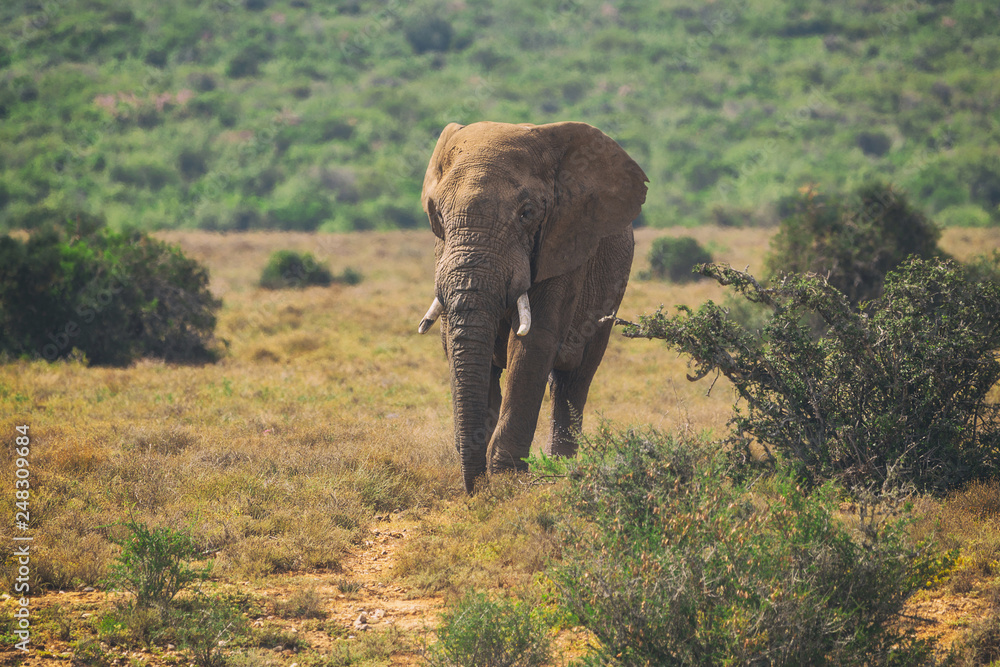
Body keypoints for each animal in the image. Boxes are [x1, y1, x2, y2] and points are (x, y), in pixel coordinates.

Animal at [416, 121, 648, 493]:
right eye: (436, 213)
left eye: (527, 213)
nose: (475, 488)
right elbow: (458, 346)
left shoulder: (563, 246)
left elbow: (531, 345)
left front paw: (507, 480)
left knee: (574, 381)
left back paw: (563, 471)